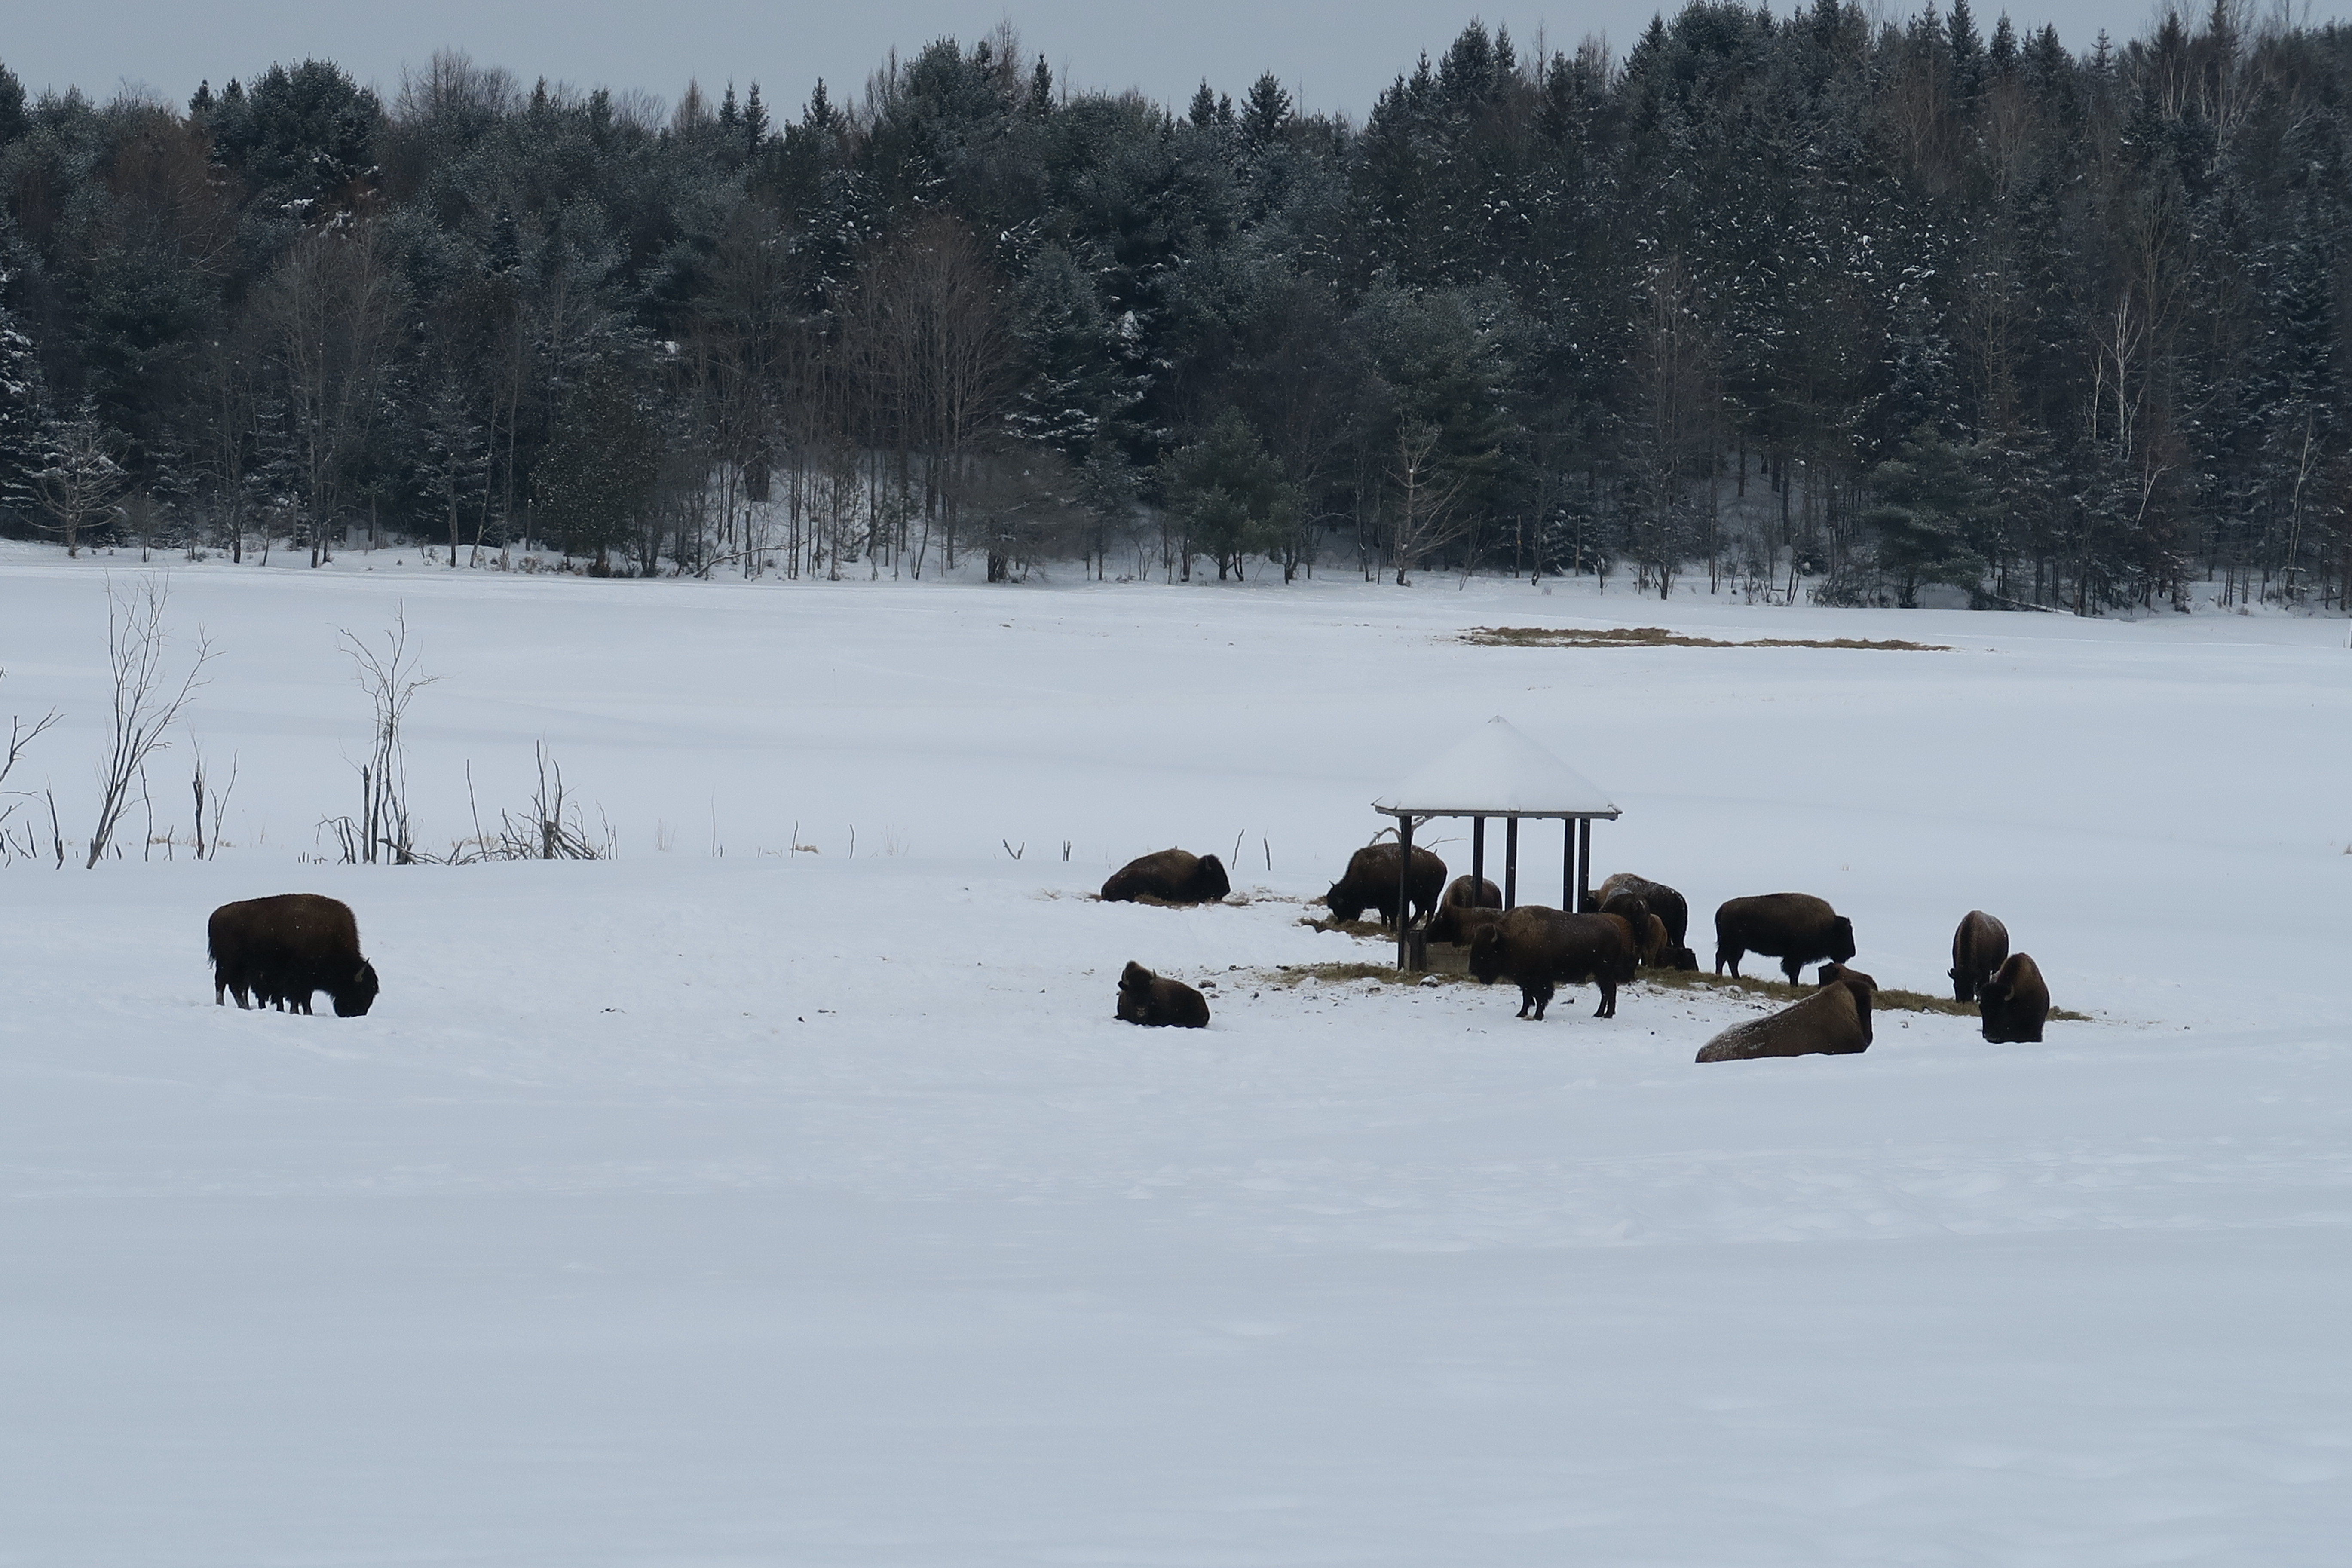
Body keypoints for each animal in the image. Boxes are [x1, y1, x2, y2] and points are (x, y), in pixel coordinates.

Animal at [208, 893, 380, 1017]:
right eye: (361, 991)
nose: (356, 1014)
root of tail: (216, 915)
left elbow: (303, 998)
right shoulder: (299, 977)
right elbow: (300, 997)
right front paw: (299, 1012)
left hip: (241, 967)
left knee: (236, 987)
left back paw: (245, 1007)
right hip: (228, 963)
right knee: (222, 983)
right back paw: (224, 1004)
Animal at [1467, 906, 1639, 1020]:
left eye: (1486, 951)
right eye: (1474, 947)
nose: (1473, 970)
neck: (1508, 940)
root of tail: (1616, 930)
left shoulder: (1540, 979)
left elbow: (1541, 997)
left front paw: (1538, 1016)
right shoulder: (1525, 980)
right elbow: (1527, 996)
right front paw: (1521, 1013)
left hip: (1603, 970)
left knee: (1609, 990)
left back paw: (1605, 1014)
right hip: (1600, 972)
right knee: (1607, 991)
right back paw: (1600, 1014)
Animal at [1713, 893, 1856, 983]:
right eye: (1844, 934)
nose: (1852, 953)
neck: (1827, 926)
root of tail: (1722, 908)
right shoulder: (1795, 957)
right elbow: (1794, 972)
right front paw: (1795, 985)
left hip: (1738, 947)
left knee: (1731, 961)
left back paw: (1737, 978)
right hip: (1731, 944)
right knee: (1723, 958)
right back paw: (1721, 976)